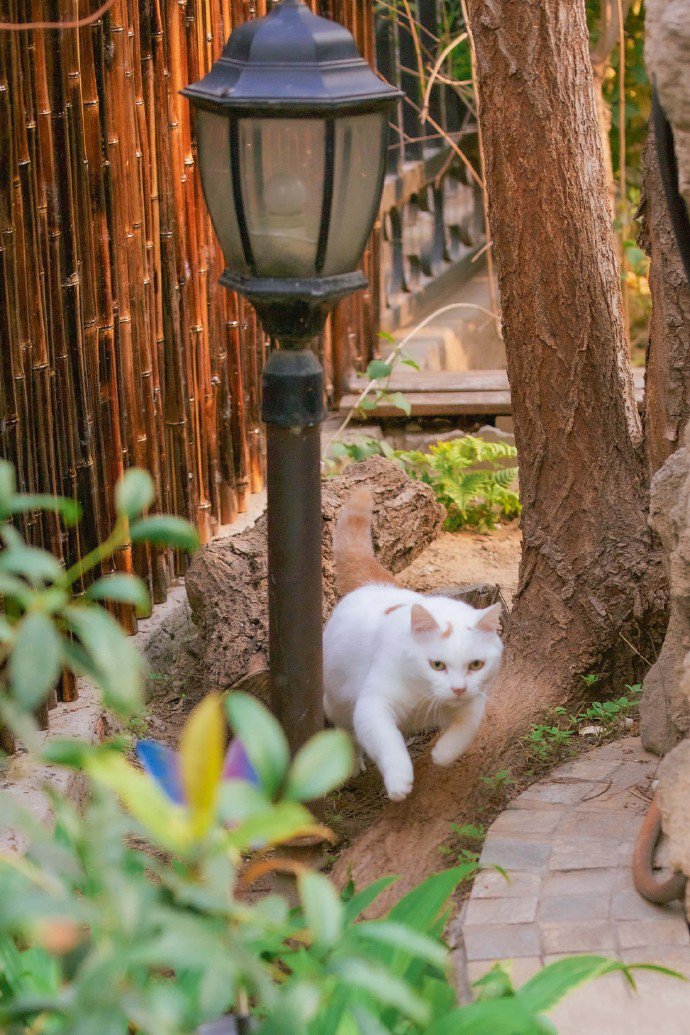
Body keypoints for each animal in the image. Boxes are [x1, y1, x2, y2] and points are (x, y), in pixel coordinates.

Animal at [324, 484, 502, 799]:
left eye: (476, 665)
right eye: (437, 665)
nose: (458, 688)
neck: (426, 698)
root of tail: (375, 583)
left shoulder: (475, 699)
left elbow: (467, 726)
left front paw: (444, 753)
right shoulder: (373, 705)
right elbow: (386, 741)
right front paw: (399, 779)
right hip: (336, 698)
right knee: (346, 731)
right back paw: (353, 764)